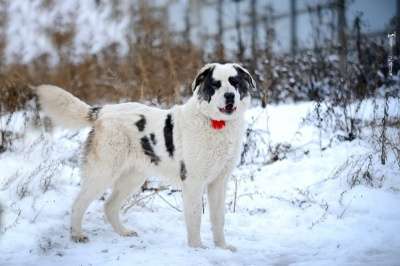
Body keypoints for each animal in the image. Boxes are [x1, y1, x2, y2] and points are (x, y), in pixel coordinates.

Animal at [33, 62, 253, 251]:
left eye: (235, 82)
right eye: (215, 84)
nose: (229, 96)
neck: (215, 123)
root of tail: (102, 111)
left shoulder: (219, 182)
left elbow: (218, 218)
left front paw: (222, 248)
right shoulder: (193, 181)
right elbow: (195, 216)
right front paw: (197, 249)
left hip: (132, 178)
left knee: (109, 205)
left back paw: (123, 232)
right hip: (103, 173)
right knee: (78, 203)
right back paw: (77, 235)